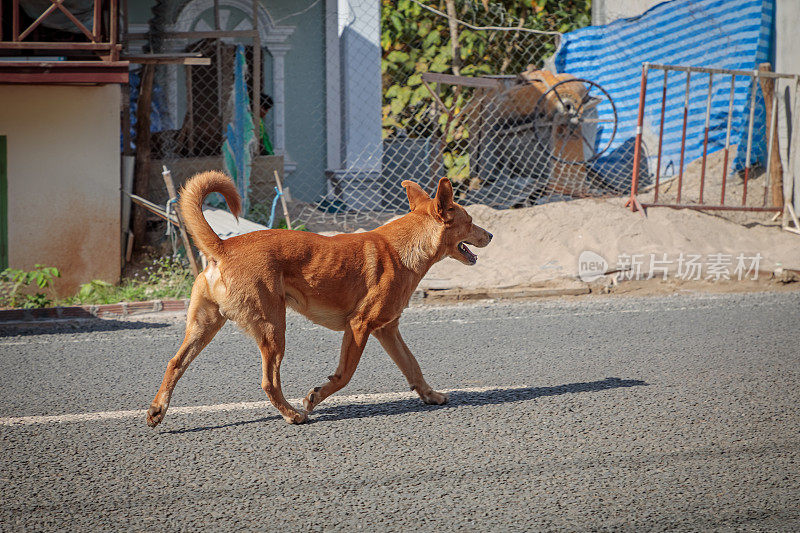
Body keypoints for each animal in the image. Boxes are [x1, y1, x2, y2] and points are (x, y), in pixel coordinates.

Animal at [146, 172, 490, 426]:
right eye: (471, 221)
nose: (490, 235)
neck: (403, 247)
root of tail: (224, 246)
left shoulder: (387, 330)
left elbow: (413, 366)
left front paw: (431, 395)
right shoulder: (359, 326)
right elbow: (344, 375)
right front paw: (314, 397)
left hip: (205, 326)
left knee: (175, 363)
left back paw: (157, 410)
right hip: (273, 329)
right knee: (269, 382)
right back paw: (292, 414)